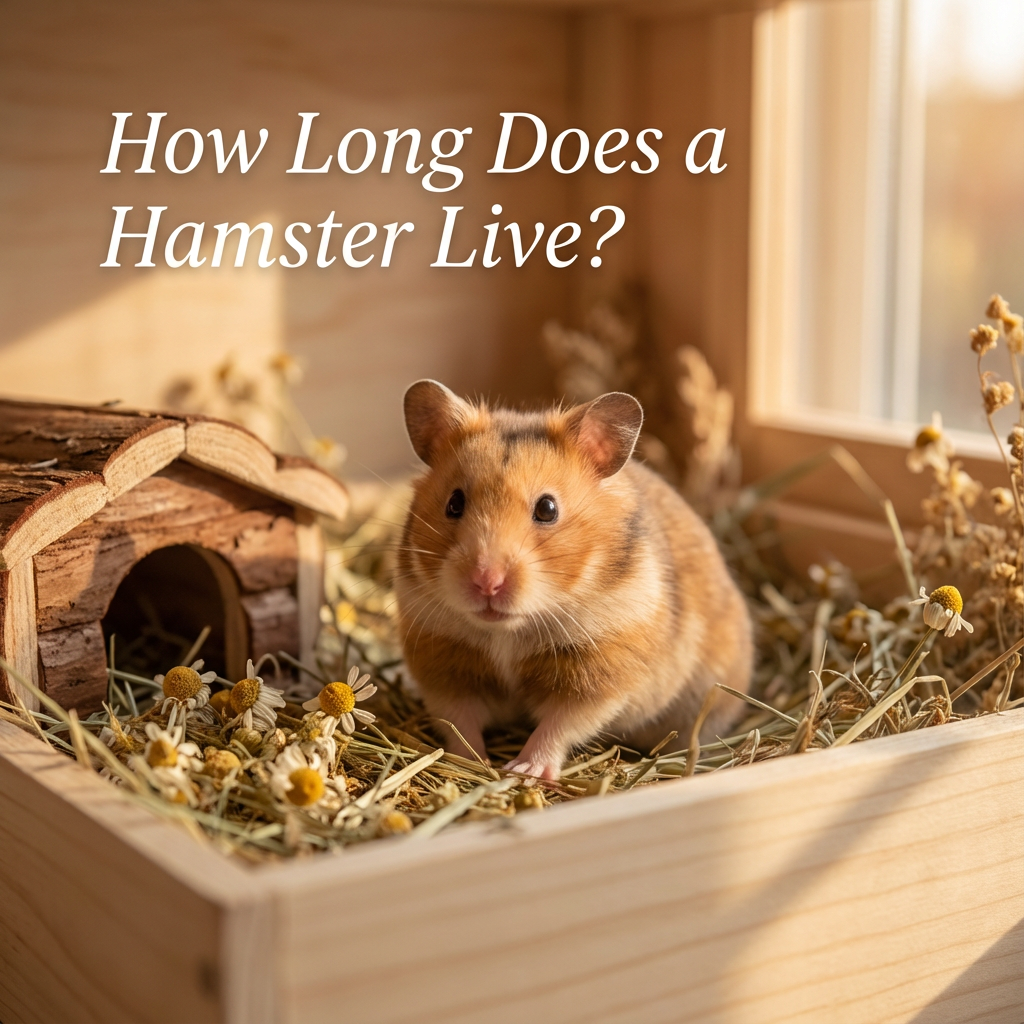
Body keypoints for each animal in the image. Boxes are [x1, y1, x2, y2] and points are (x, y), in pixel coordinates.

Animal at [395, 379, 753, 780]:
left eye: (547, 509)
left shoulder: (600, 675)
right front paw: (472, 762)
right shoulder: (444, 666)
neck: (509, 631)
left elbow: (559, 725)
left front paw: (525, 770)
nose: (487, 582)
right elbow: (459, 721)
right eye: (454, 503)